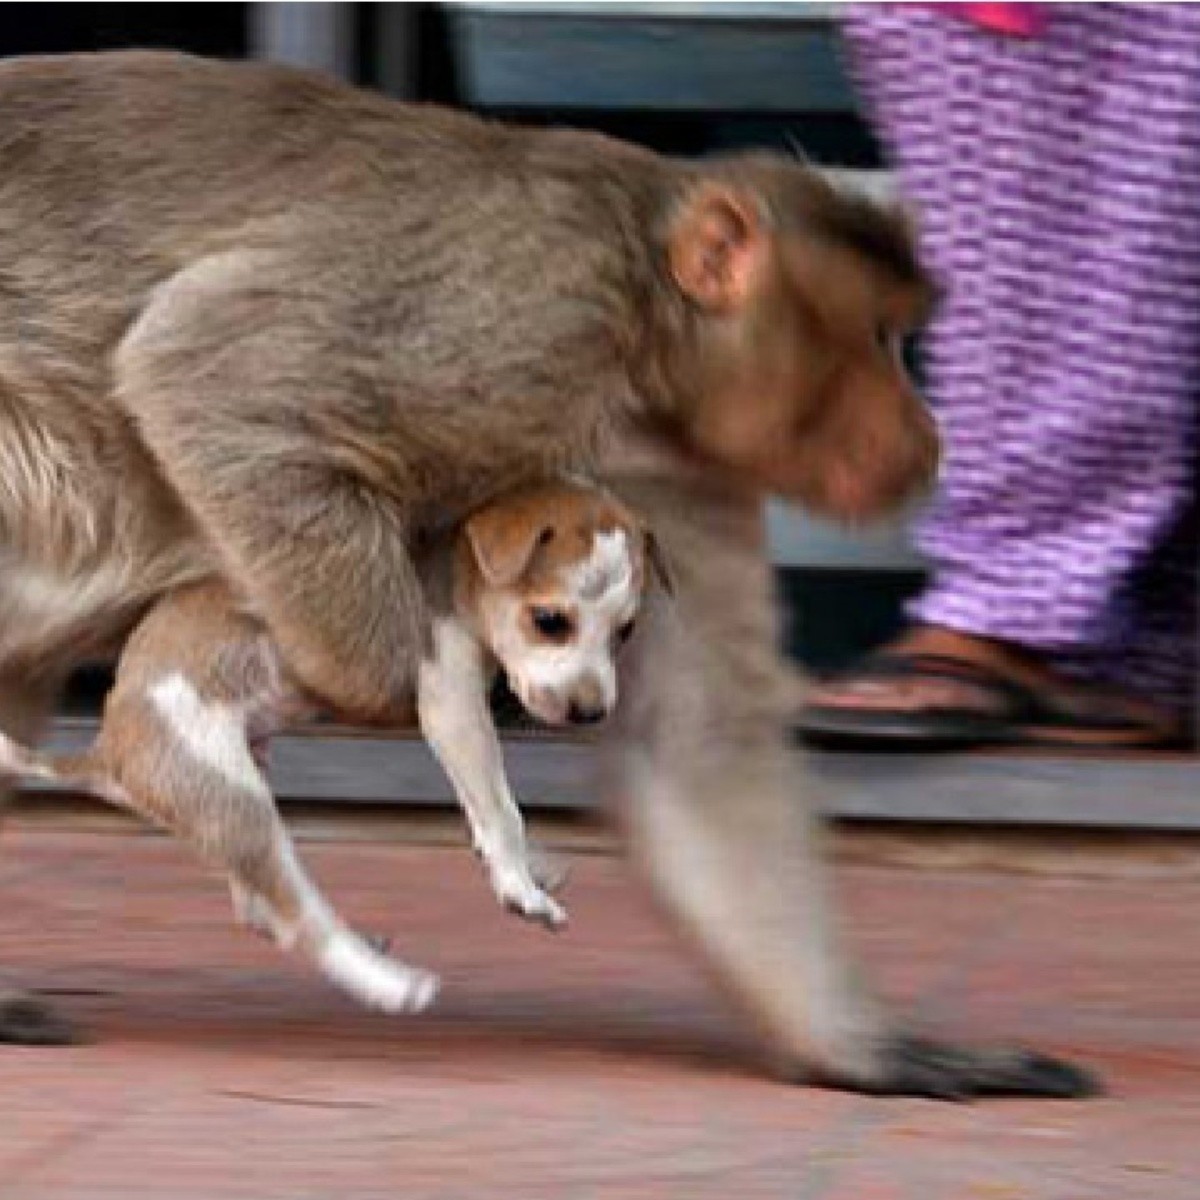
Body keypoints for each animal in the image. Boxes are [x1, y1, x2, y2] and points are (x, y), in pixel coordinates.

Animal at [0, 46, 1094, 1099]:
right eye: (877, 337)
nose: (927, 435)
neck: (643, 332)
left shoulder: (670, 474)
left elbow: (695, 739)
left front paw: (871, 1052)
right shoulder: (516, 322)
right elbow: (202, 374)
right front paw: (364, 680)